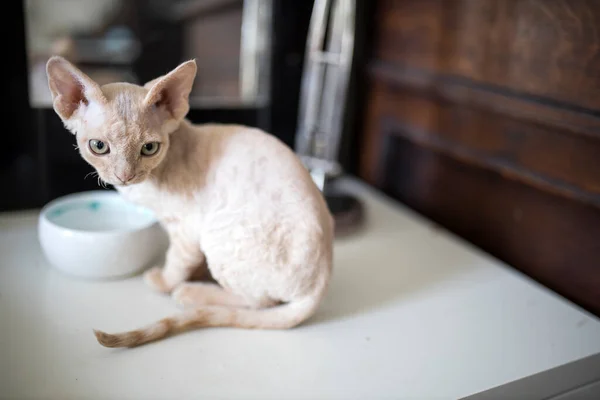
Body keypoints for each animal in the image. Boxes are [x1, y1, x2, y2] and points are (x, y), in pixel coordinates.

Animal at [44, 55, 336, 346]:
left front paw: (164, 281)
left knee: (260, 301)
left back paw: (192, 292)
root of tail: (321, 285)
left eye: (149, 148)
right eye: (99, 146)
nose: (125, 176)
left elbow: (176, 261)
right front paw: (191, 271)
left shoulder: (187, 229)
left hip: (220, 235)